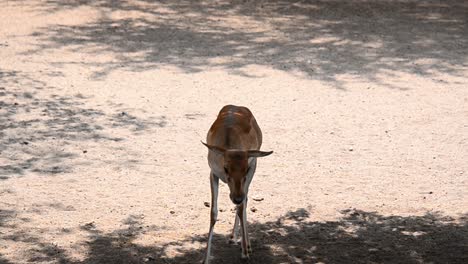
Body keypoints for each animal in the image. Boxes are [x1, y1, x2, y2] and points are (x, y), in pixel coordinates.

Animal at [200, 104, 272, 262]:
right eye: (226, 168)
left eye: (245, 169)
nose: (236, 197)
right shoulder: (213, 173)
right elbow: (213, 212)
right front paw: (206, 258)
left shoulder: (251, 169)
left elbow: (241, 207)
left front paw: (245, 252)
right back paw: (233, 237)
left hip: (255, 164)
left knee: (245, 200)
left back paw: (245, 243)